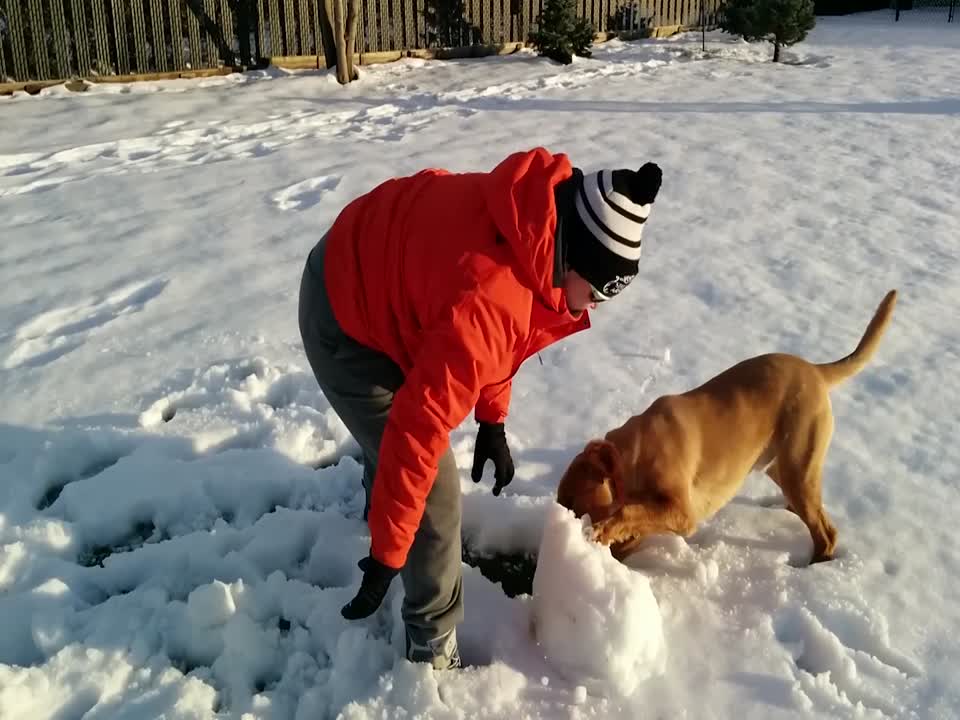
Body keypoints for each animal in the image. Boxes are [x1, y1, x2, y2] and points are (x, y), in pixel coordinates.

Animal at [556, 290, 900, 564]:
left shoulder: (682, 511)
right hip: (782, 467)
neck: (632, 455)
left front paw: (602, 532)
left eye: (572, 502)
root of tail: (815, 370)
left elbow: (629, 514)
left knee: (827, 533)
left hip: (798, 467)